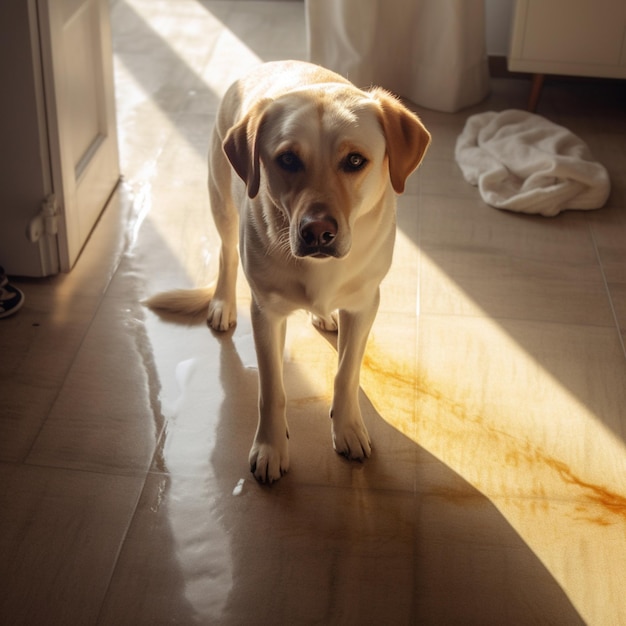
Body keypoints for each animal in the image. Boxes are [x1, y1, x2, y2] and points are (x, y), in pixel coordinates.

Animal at [146, 59, 428, 482]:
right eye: (288, 160)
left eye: (355, 161)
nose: (318, 232)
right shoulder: (265, 313)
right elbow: (272, 391)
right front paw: (271, 448)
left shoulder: (365, 305)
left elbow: (346, 374)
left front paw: (347, 428)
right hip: (221, 203)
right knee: (226, 256)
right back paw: (222, 304)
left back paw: (324, 317)